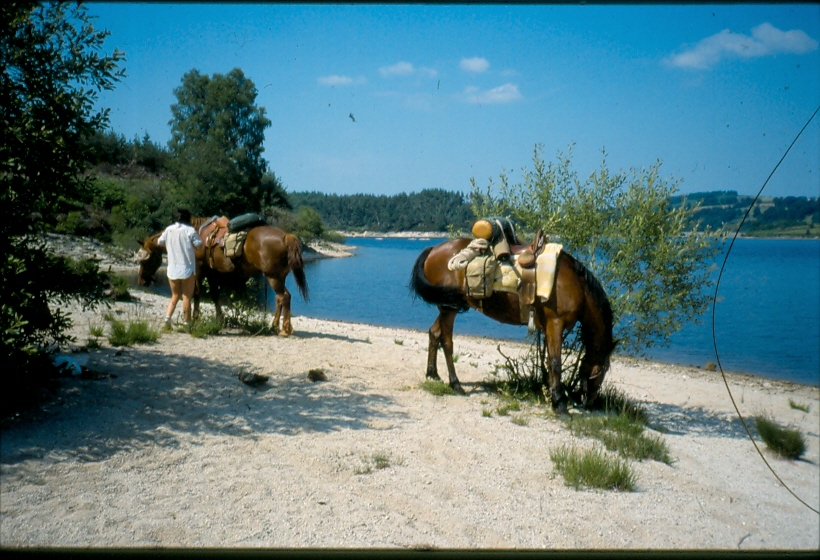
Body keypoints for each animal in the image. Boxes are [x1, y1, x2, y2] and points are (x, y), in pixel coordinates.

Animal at [135, 217, 308, 334]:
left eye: (147, 260)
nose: (142, 281)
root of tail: (286, 236)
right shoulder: (212, 273)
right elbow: (214, 294)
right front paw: (220, 319)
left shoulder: (199, 269)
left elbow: (197, 293)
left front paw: (196, 319)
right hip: (278, 276)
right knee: (281, 298)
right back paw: (275, 326)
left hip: (273, 277)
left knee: (284, 297)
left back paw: (284, 329)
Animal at [410, 237, 616, 412]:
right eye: (604, 369)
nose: (589, 403)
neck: (576, 284)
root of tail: (433, 249)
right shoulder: (555, 324)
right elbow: (555, 363)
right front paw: (559, 404)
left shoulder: (550, 327)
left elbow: (550, 364)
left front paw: (553, 398)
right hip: (449, 308)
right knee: (446, 341)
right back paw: (455, 384)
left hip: (447, 306)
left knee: (434, 333)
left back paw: (433, 374)